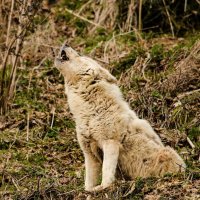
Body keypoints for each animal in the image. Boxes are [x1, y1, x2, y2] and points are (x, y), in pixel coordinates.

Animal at [54, 44, 186, 192]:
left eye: (81, 56)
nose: (65, 44)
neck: (90, 110)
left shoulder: (111, 143)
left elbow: (106, 170)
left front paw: (103, 187)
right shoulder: (89, 152)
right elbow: (88, 180)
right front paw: (89, 190)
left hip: (167, 152)